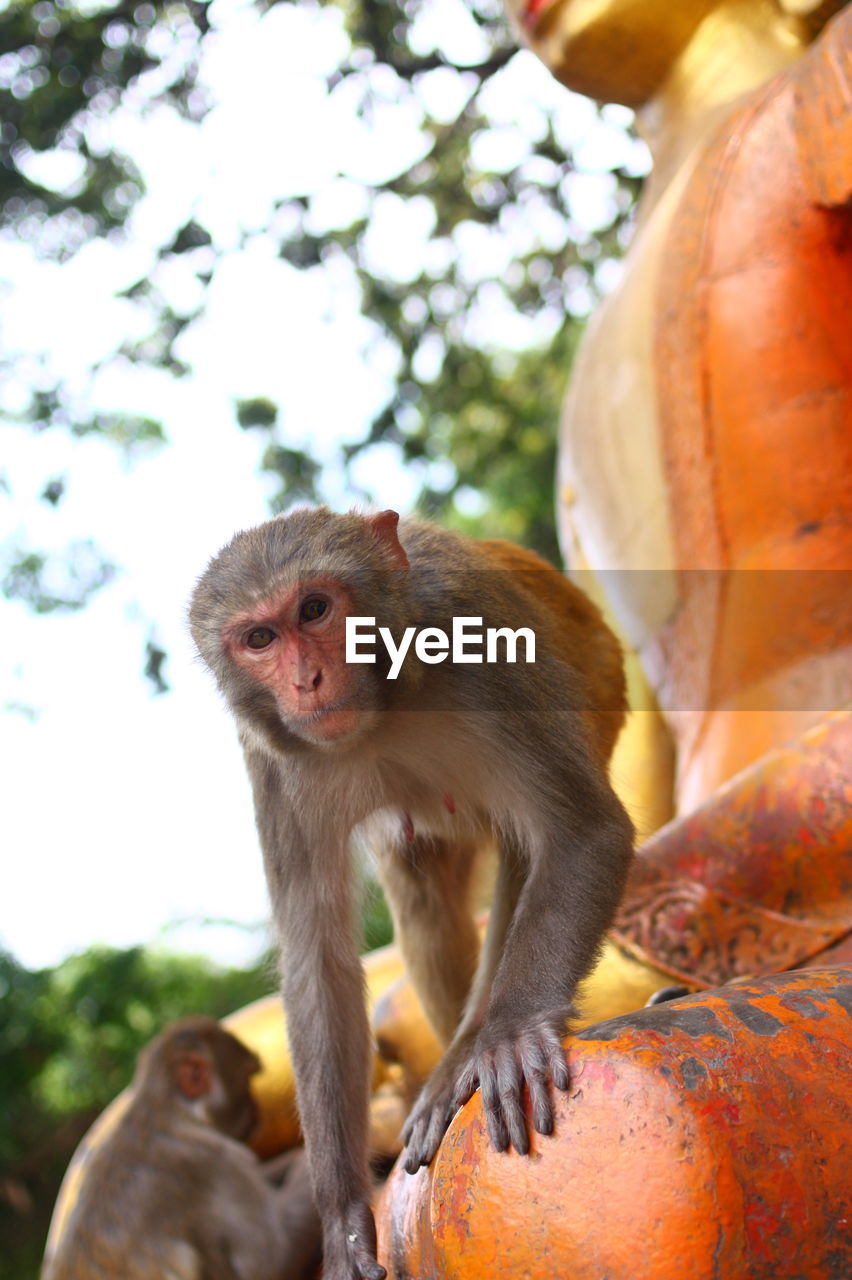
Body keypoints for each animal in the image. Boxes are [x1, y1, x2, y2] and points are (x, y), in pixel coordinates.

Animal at [39, 1013, 319, 1274]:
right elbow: (272, 1262)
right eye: (248, 1079)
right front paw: (303, 1164)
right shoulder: (218, 1162)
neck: (162, 1113)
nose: (256, 1109)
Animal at [189, 509, 634, 1280]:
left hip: (601, 694)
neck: (387, 704)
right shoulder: (274, 762)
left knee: (527, 847)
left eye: (315, 609)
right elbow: (320, 967)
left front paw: (512, 1033)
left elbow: (584, 833)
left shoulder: (486, 646)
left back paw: (470, 1046)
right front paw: (343, 1225)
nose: (306, 679)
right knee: (425, 900)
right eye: (259, 639)